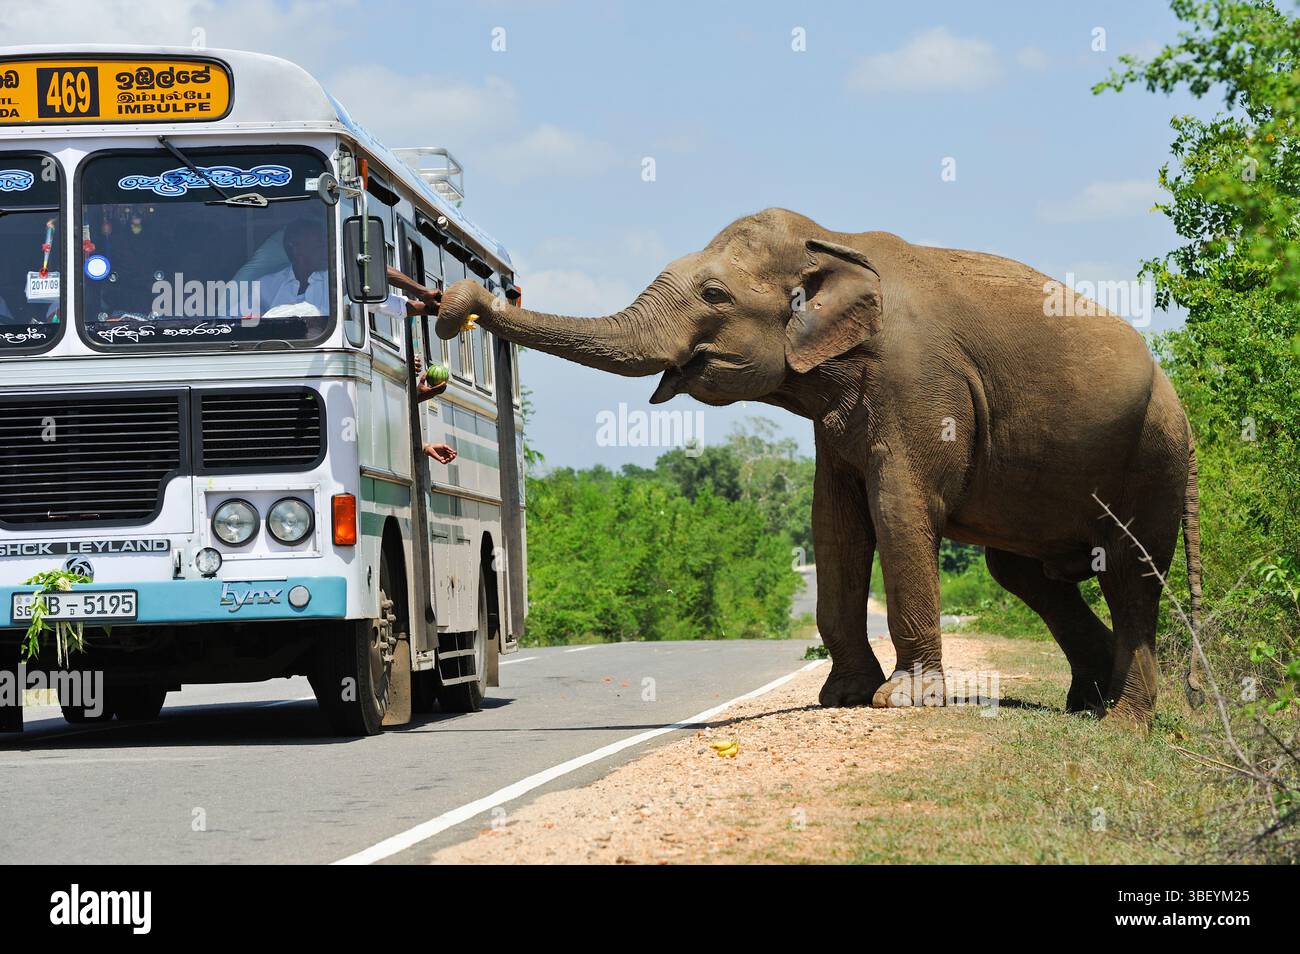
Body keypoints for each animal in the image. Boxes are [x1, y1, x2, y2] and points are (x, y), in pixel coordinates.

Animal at [424, 208, 1204, 725]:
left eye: (714, 295)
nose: (454, 303)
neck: (835, 242)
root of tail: (1178, 396)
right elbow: (832, 523)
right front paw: (844, 697)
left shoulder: (918, 382)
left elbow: (899, 508)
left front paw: (901, 703)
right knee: (1026, 573)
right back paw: (1085, 704)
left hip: (1154, 457)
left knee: (1128, 577)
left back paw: (1125, 720)